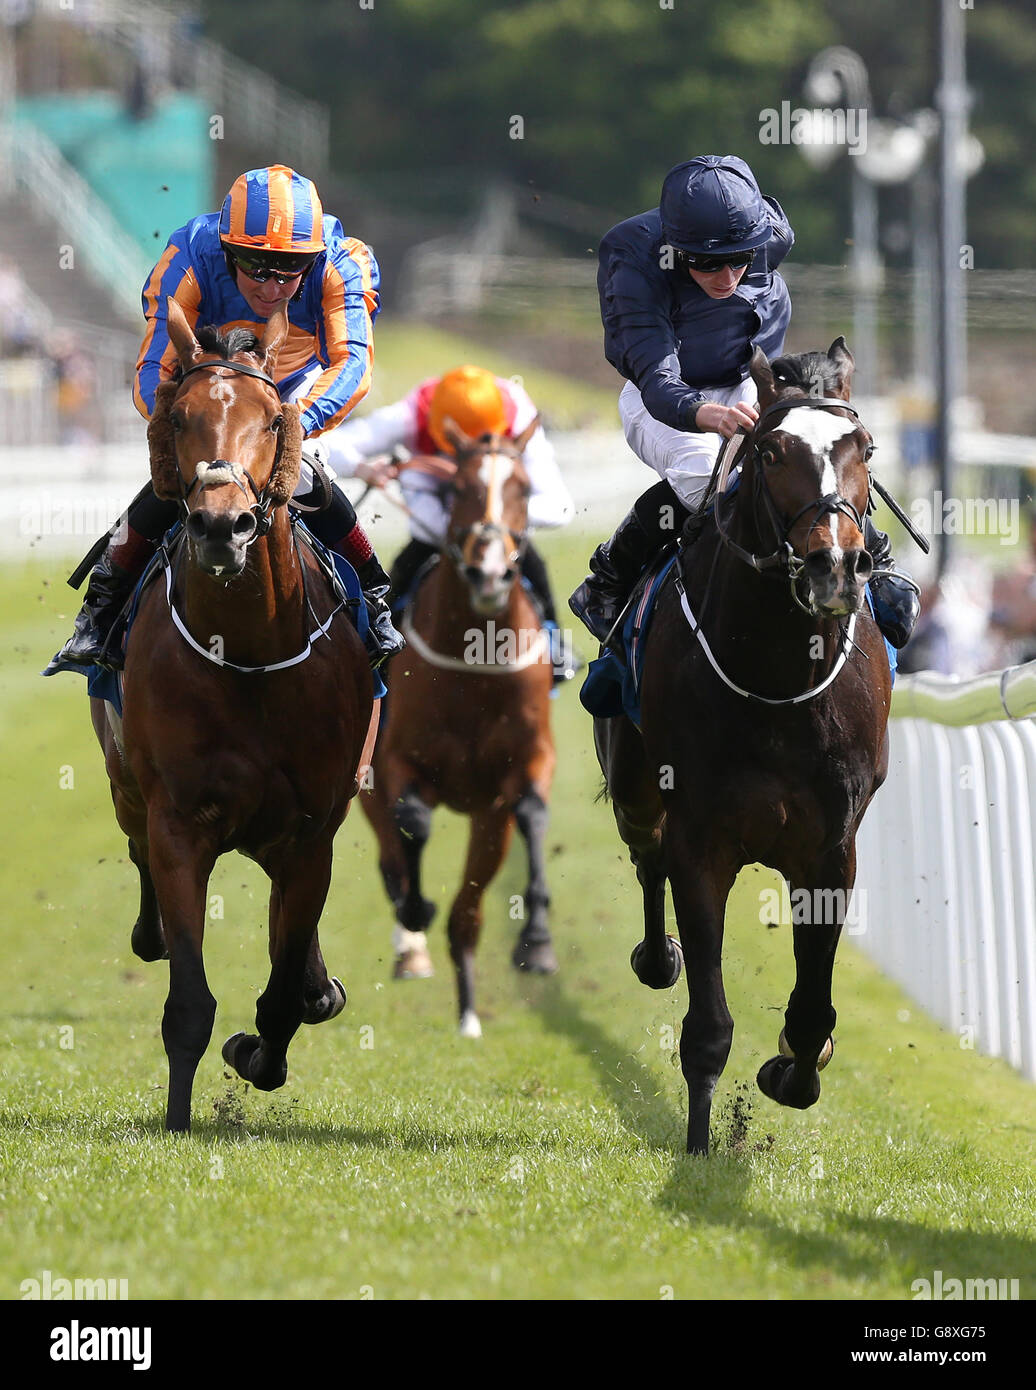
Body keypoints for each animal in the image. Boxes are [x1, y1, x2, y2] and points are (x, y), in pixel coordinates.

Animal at [91, 301, 375, 1128]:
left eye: (271, 420)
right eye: (180, 417)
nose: (223, 525)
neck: (247, 654)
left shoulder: (312, 833)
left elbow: (280, 995)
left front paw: (261, 1047)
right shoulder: (180, 823)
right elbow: (189, 998)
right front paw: (179, 1117)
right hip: (125, 786)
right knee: (136, 856)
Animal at [364, 417, 559, 1039]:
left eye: (525, 487)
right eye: (458, 489)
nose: (490, 572)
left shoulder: (525, 766)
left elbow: (534, 812)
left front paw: (537, 942)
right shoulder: (397, 762)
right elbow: (413, 823)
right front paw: (413, 911)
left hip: (488, 825)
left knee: (467, 917)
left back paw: (469, 1010)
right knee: (391, 857)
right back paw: (411, 944)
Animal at [595, 341, 895, 1156]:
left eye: (865, 448)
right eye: (771, 451)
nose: (833, 565)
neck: (778, 676)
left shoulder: (832, 848)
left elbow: (813, 1010)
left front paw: (793, 1066)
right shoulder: (702, 838)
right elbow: (707, 1024)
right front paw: (702, 1143)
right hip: (634, 785)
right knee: (645, 855)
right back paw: (656, 957)